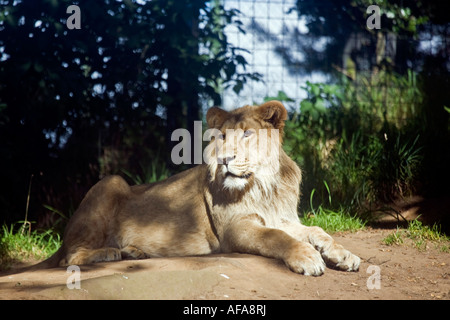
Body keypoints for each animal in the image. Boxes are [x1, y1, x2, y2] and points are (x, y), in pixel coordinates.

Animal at [39, 100, 362, 276]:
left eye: (247, 134)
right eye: (221, 136)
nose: (225, 159)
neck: (262, 185)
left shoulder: (282, 218)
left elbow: (316, 231)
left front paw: (344, 255)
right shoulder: (236, 229)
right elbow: (275, 238)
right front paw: (307, 258)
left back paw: (133, 253)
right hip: (112, 181)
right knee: (68, 257)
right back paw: (110, 253)